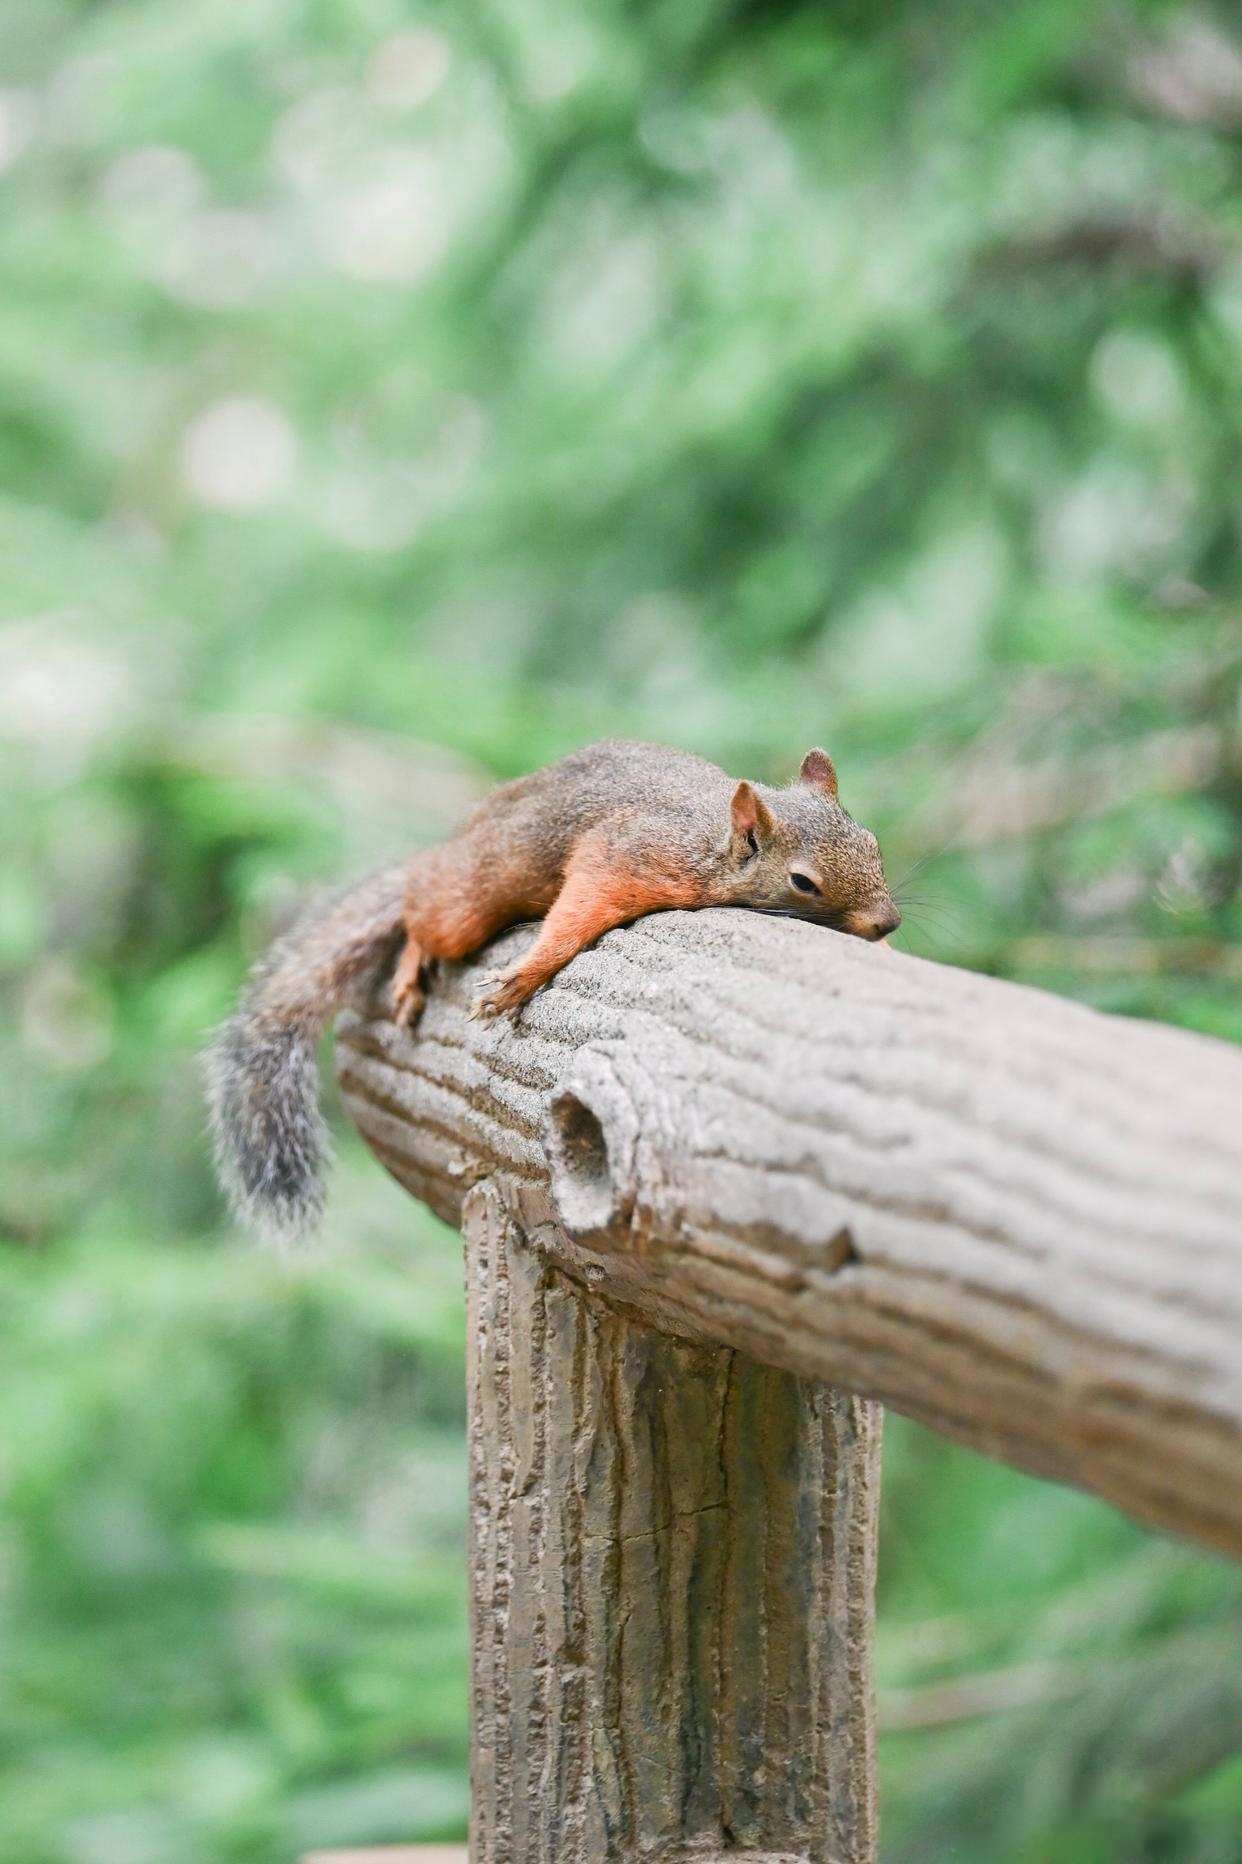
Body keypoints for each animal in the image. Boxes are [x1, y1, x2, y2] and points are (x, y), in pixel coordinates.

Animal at [205, 734, 898, 1245]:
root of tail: (467, 830)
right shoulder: (626, 856)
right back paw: (412, 961)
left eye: (873, 843)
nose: (887, 921)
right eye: (803, 882)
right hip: (471, 891)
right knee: (421, 905)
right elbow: (579, 908)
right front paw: (524, 976)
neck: (711, 844)